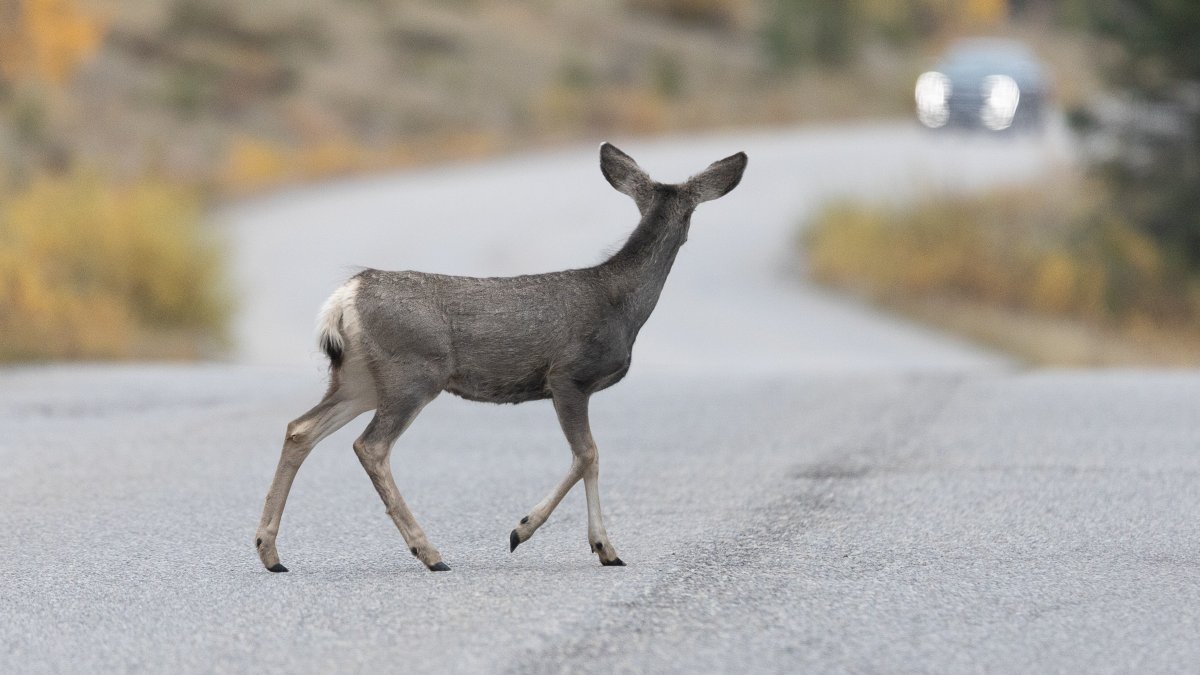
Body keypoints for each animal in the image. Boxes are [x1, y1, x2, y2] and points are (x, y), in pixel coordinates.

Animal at [254, 143, 748, 573]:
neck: (622, 305)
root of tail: (345, 296)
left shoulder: (567, 385)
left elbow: (585, 456)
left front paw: (588, 544)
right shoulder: (568, 376)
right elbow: (588, 454)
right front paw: (558, 537)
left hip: (360, 380)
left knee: (301, 429)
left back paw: (270, 552)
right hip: (412, 373)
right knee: (369, 446)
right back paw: (429, 552)